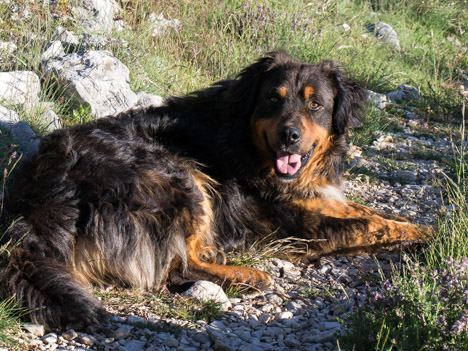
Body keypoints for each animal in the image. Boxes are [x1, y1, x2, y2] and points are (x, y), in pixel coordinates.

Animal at [0, 51, 428, 332]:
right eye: (272, 99)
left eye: (316, 104)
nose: (289, 136)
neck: (250, 144)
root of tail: (38, 199)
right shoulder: (302, 229)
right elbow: (372, 226)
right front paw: (427, 235)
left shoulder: (317, 197)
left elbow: (374, 213)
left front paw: (414, 223)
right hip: (176, 172)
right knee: (177, 269)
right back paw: (246, 273)